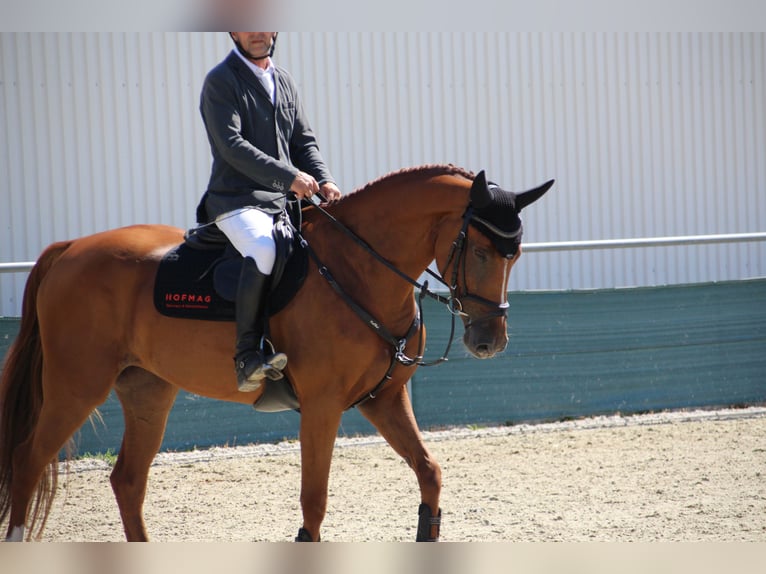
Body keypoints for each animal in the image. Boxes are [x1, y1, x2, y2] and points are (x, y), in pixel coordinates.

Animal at [0, 164, 552, 544]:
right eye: (479, 251)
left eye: (515, 255)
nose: (490, 341)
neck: (358, 270)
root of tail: (70, 248)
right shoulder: (323, 408)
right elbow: (314, 502)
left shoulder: (384, 401)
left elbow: (430, 472)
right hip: (76, 387)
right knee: (27, 461)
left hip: (148, 391)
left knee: (127, 481)